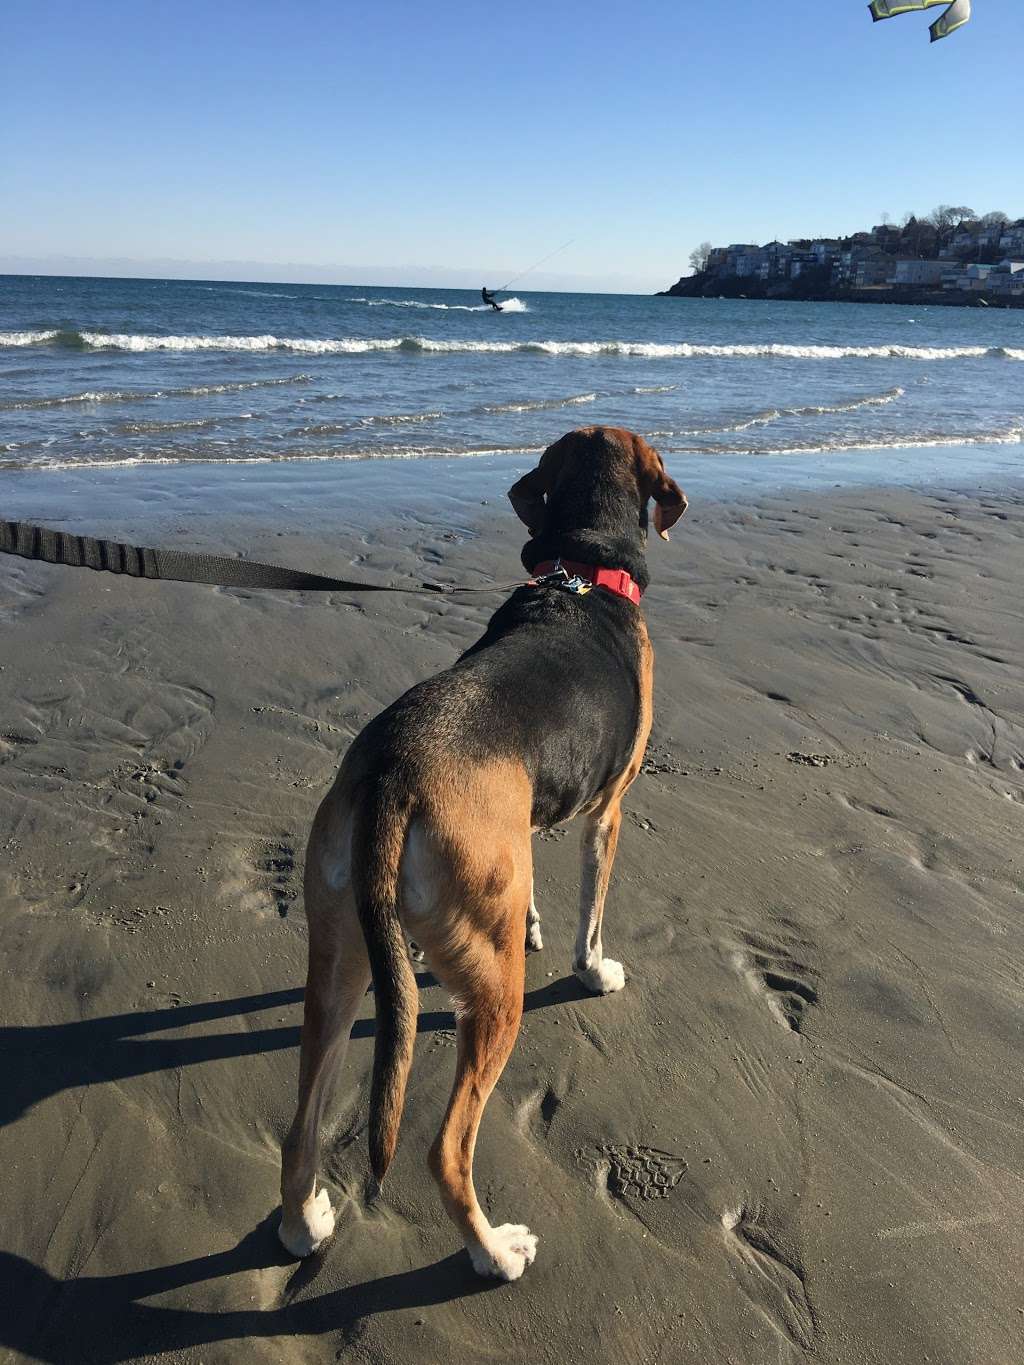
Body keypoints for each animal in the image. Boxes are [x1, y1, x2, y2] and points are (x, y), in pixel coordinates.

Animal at [278, 425, 690, 1277]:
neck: (581, 569)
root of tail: (395, 771)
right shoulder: (609, 811)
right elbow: (592, 916)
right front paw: (594, 970)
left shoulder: (521, 828)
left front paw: (532, 922)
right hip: (498, 999)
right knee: (445, 1150)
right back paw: (493, 1251)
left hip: (339, 955)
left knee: (301, 1125)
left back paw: (303, 1224)